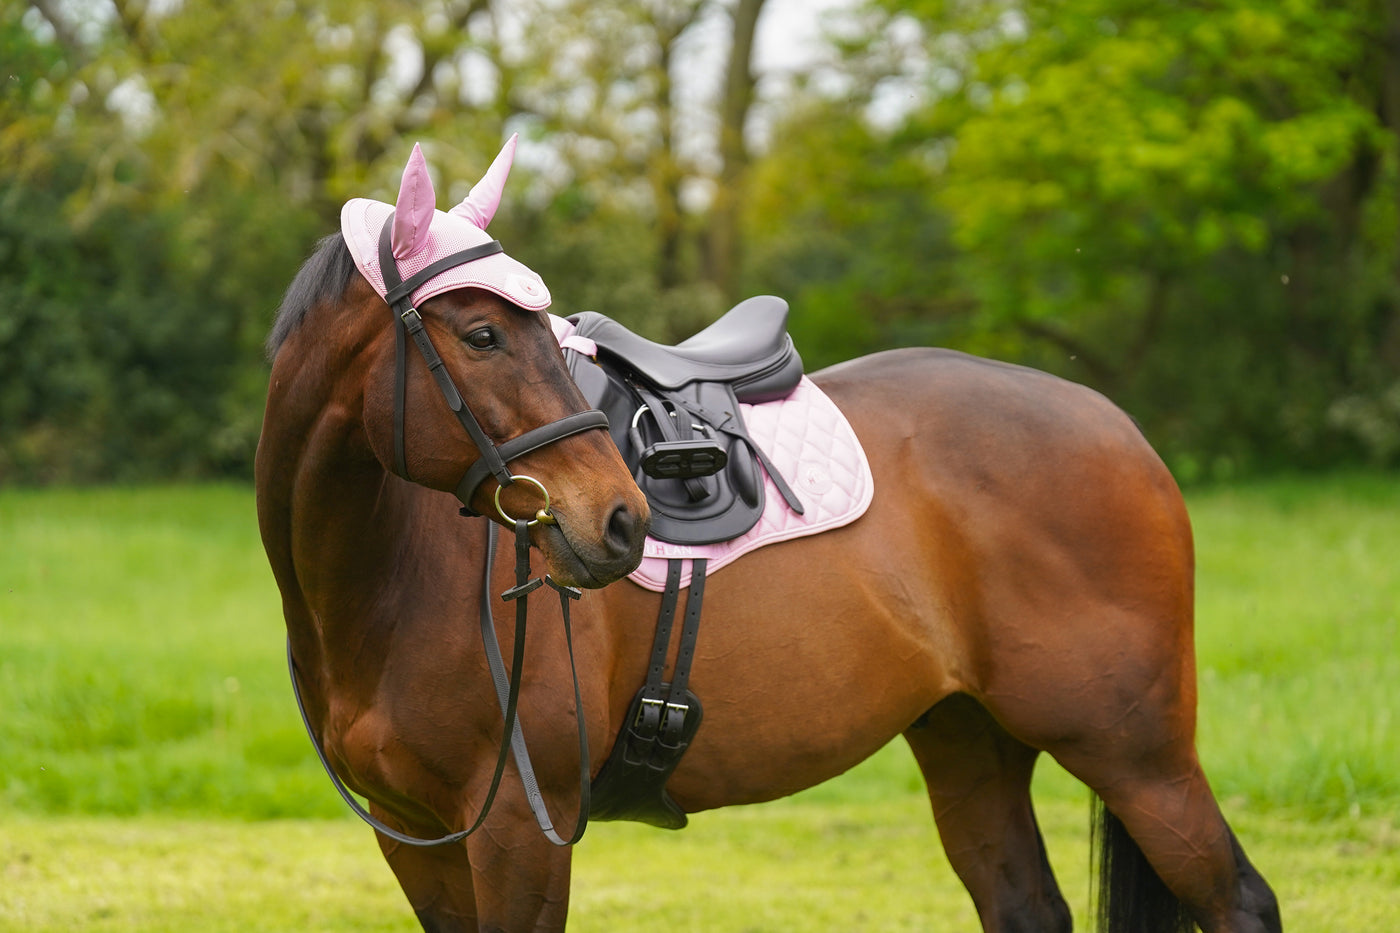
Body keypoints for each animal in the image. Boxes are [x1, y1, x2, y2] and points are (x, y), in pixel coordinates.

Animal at [252, 140, 1282, 930]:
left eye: (535, 330)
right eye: (480, 335)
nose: (619, 519)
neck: (391, 578)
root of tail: (1116, 425)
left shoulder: (515, 831)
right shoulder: (415, 836)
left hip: (1134, 751)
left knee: (1239, 899)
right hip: (971, 740)